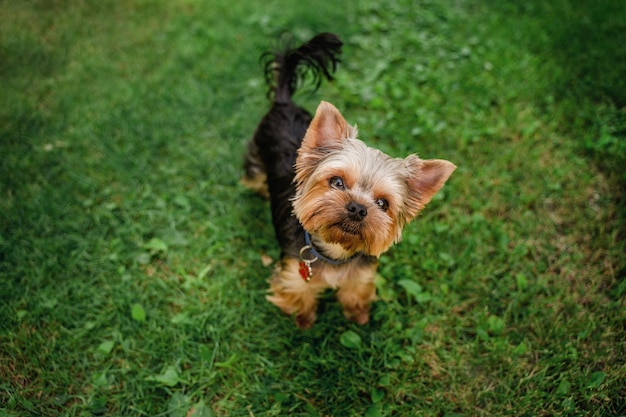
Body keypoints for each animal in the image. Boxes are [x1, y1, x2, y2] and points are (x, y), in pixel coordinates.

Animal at [240, 33, 454, 328]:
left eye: (383, 203)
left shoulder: (361, 276)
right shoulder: (294, 274)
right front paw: (303, 322)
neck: (336, 251)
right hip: (256, 157)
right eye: (337, 182)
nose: (357, 208)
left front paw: (359, 317)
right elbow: (299, 298)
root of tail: (283, 102)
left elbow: (355, 294)